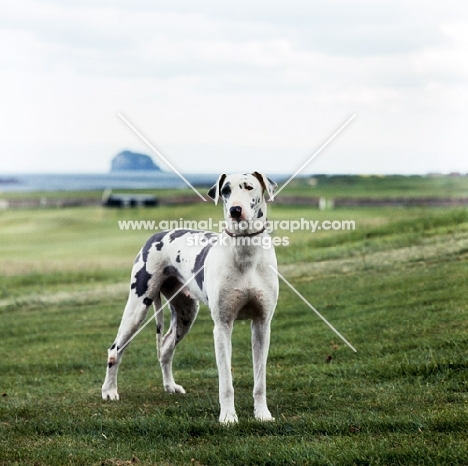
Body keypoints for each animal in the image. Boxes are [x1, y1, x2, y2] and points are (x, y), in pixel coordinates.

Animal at [102, 173, 278, 424]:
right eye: (225, 190)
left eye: (249, 187)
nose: (235, 210)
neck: (246, 253)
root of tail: (155, 235)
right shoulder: (222, 327)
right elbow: (226, 383)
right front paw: (228, 417)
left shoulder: (262, 325)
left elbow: (260, 380)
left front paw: (262, 414)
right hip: (137, 308)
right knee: (115, 350)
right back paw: (109, 390)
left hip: (186, 313)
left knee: (166, 347)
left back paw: (170, 386)